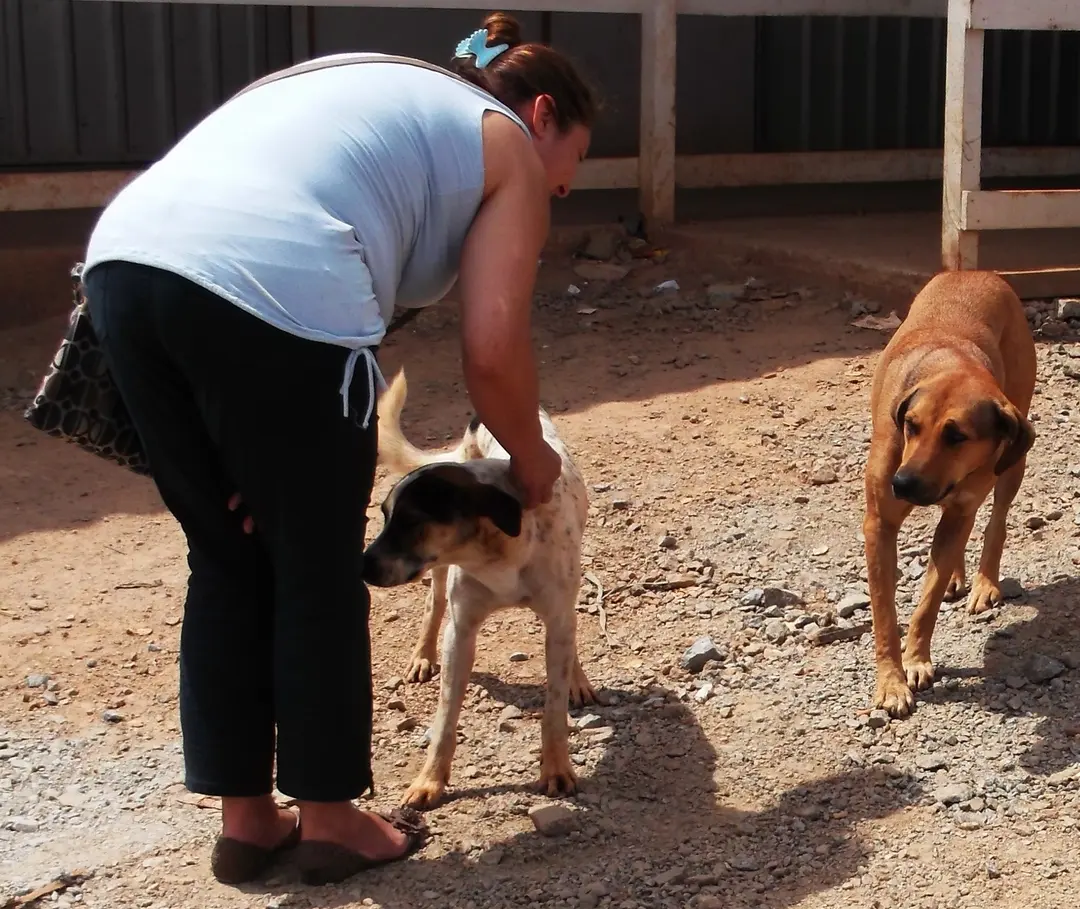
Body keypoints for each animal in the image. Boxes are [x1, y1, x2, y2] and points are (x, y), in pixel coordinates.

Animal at [362, 369, 600, 807]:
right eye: (384, 516)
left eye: (411, 520)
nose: (360, 565)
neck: (496, 553)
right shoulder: (461, 631)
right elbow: (444, 719)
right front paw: (430, 781)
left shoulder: (556, 617)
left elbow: (554, 708)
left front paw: (557, 768)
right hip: (440, 573)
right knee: (433, 602)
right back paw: (422, 655)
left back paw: (577, 677)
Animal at [864, 268, 1032, 716]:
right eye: (911, 425)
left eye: (957, 436)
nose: (902, 484)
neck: (951, 361)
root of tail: (972, 271)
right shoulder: (879, 523)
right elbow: (885, 614)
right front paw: (891, 681)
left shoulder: (961, 507)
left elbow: (927, 603)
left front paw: (916, 661)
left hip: (1013, 461)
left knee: (994, 523)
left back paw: (983, 583)